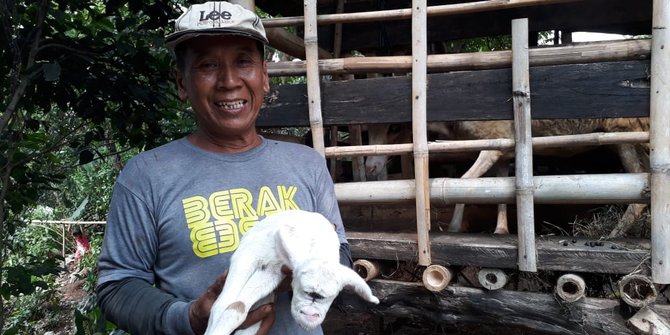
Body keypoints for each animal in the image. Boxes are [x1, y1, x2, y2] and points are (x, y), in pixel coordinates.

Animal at [205, 210, 380, 335]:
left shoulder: (273, 271)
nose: (310, 316)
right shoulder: (247, 256)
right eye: (306, 291)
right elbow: (226, 305)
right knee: (223, 302)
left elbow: (238, 307)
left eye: (333, 296)